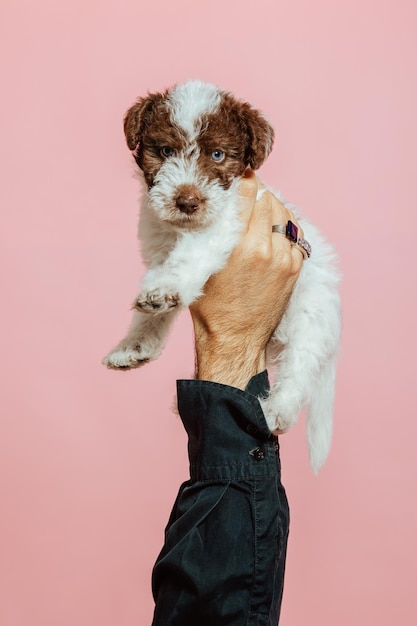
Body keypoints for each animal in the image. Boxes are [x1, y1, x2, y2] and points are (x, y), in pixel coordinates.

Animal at [102, 81, 340, 472]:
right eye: (165, 150)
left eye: (217, 155)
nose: (187, 201)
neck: (181, 229)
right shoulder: (158, 249)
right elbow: (153, 314)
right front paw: (135, 345)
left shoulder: (224, 224)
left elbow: (188, 257)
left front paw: (164, 288)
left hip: (309, 320)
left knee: (298, 371)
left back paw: (276, 411)